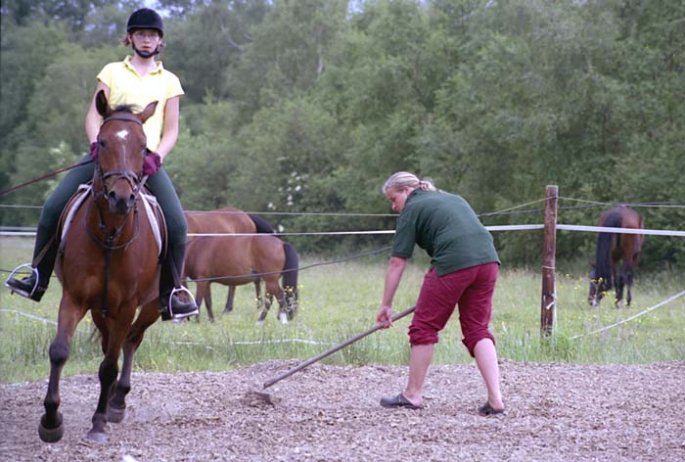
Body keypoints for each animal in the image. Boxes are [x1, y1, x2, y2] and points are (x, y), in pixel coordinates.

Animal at [37, 91, 164, 444]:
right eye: (103, 142)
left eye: (143, 146)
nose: (120, 197)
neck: (111, 235)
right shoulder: (75, 298)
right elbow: (60, 351)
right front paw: (51, 420)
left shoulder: (127, 306)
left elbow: (109, 365)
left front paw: (97, 423)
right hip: (98, 308)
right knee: (113, 342)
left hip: (151, 304)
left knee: (131, 340)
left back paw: (116, 402)